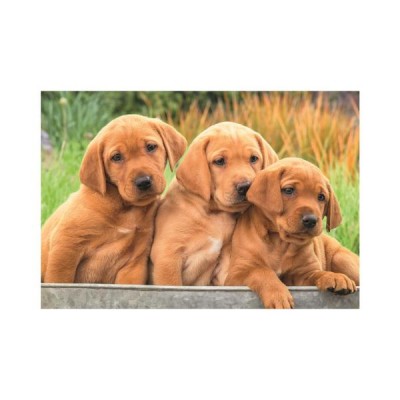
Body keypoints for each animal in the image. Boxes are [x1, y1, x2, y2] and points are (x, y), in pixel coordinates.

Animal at [41, 115, 187, 284]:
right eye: (116, 157)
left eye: (151, 147)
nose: (143, 182)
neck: (124, 207)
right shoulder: (66, 244)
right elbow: (59, 278)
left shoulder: (135, 263)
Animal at [150, 122, 278, 286]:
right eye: (220, 161)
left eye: (254, 158)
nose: (245, 187)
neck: (214, 213)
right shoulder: (167, 256)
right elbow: (171, 284)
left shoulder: (223, 260)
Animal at [225, 157, 359, 308]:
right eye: (289, 190)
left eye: (321, 197)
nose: (311, 220)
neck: (280, 242)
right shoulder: (237, 273)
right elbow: (261, 271)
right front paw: (277, 294)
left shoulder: (304, 273)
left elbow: (317, 274)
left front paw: (333, 276)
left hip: (341, 258)